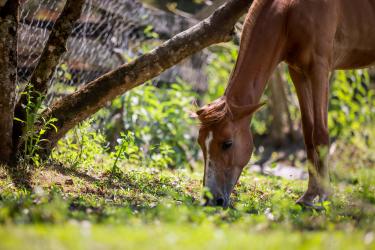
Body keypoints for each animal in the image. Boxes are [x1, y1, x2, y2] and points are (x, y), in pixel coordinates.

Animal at [195, 0, 375, 207]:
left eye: (227, 143)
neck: (291, 11)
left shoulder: (320, 69)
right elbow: (308, 133)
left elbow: (320, 133)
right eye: (200, 143)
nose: (209, 199)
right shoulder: (298, 72)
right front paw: (309, 196)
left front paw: (325, 196)